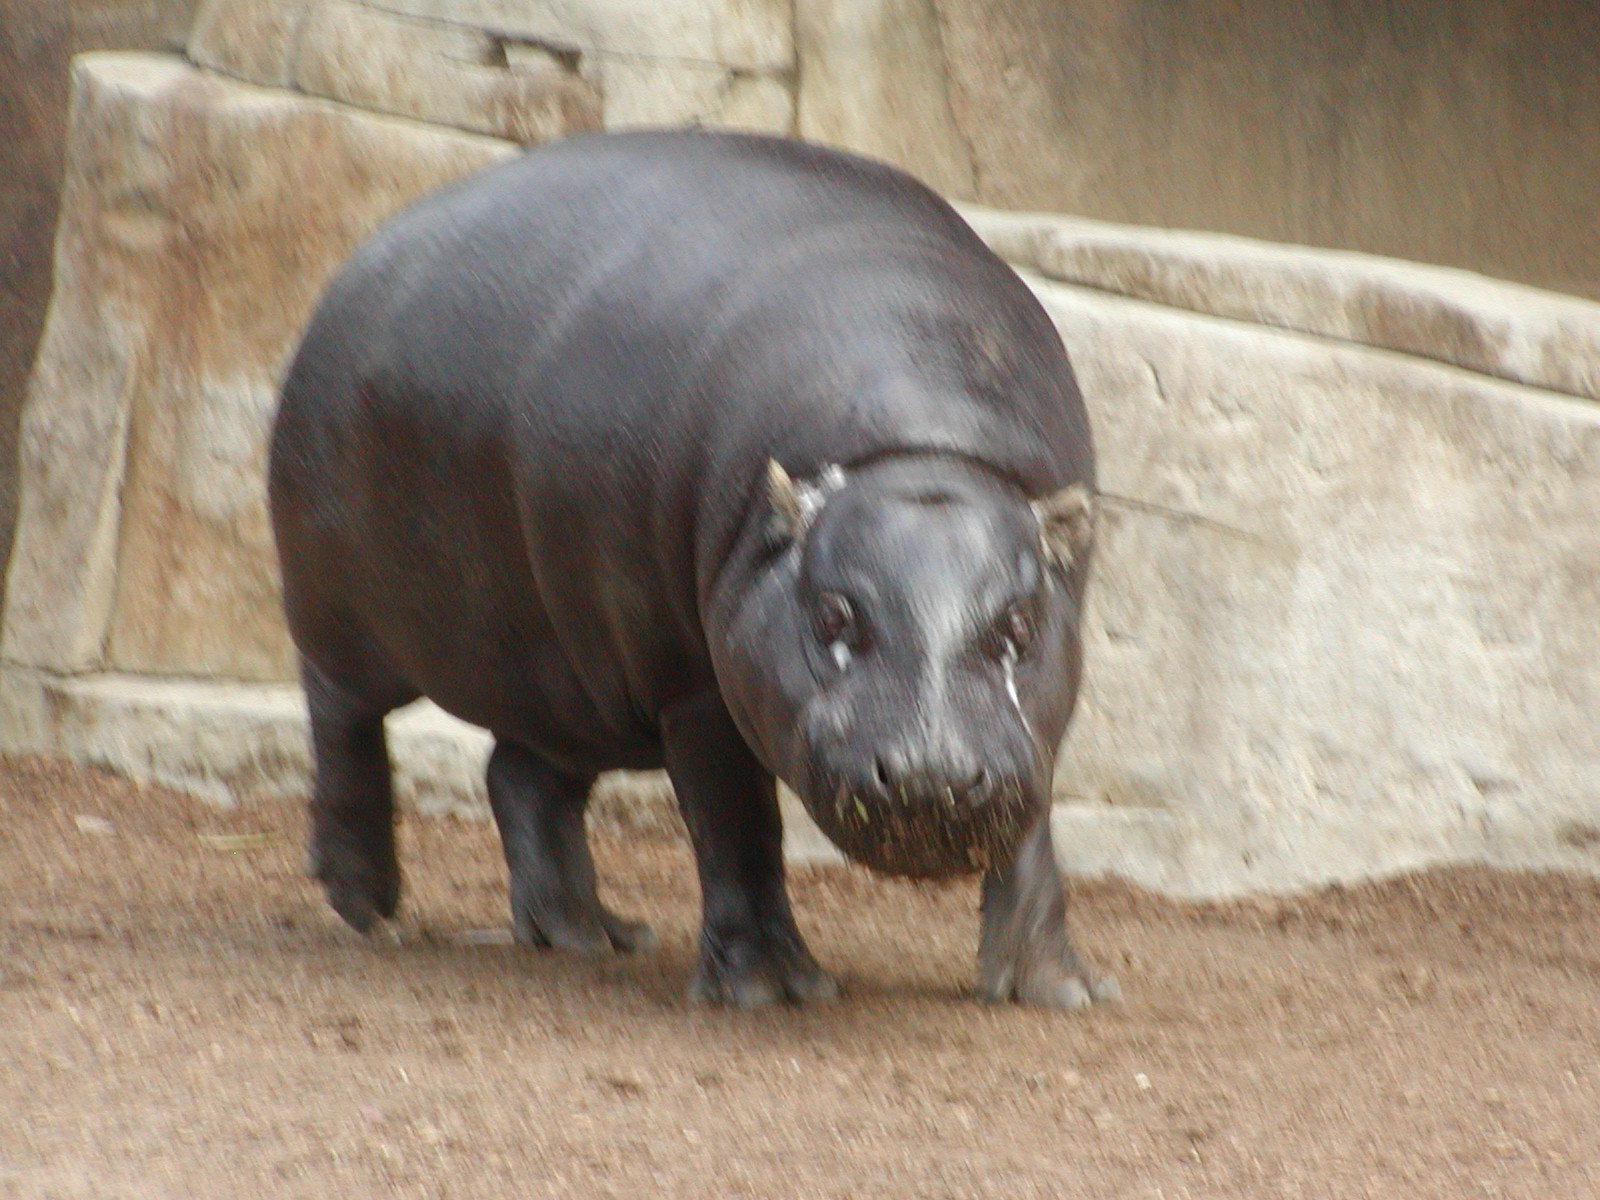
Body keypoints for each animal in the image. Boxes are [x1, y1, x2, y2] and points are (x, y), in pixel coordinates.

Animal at [268, 129, 1115, 1010]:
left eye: (1020, 623)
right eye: (833, 615)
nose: (931, 775)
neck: (922, 457)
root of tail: (363, 256)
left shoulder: (1037, 708)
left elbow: (1031, 831)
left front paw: (1057, 991)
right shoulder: (695, 685)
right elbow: (738, 828)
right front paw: (771, 991)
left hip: (570, 670)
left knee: (522, 776)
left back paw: (592, 936)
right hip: (344, 620)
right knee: (344, 728)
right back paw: (368, 910)